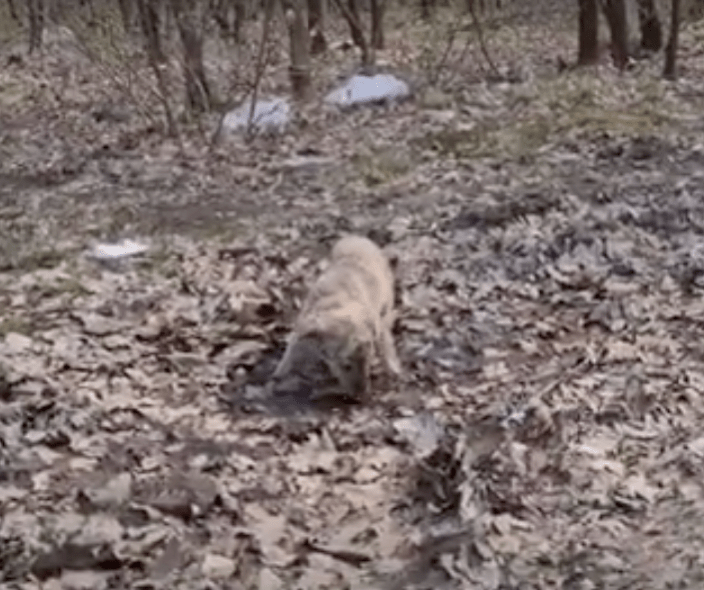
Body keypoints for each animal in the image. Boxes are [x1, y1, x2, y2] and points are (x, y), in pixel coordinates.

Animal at [270, 235, 398, 398]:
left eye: (368, 362)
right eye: (346, 366)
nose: (361, 394)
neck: (337, 304)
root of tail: (357, 237)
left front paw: (392, 367)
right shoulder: (305, 324)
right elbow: (291, 350)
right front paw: (279, 373)